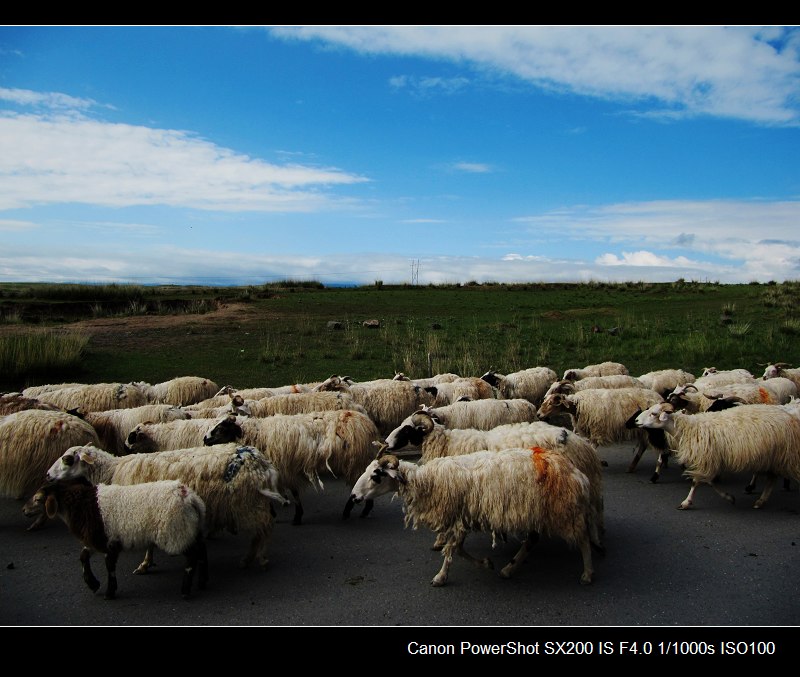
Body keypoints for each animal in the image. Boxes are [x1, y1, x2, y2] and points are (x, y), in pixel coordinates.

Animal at [46, 440, 284, 568]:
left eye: (67, 459)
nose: (47, 475)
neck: (112, 470)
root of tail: (260, 462)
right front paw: (147, 562)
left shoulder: (145, 511)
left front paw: (145, 564)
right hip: (252, 502)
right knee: (262, 530)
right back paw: (251, 558)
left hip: (247, 504)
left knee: (263, 529)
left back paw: (258, 558)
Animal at [636, 402, 800, 508]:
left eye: (654, 413)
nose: (636, 420)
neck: (689, 428)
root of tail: (790, 418)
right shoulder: (709, 459)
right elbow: (709, 481)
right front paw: (729, 497)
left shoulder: (706, 458)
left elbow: (697, 481)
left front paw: (686, 503)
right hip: (775, 457)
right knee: (772, 479)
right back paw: (760, 501)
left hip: (783, 455)